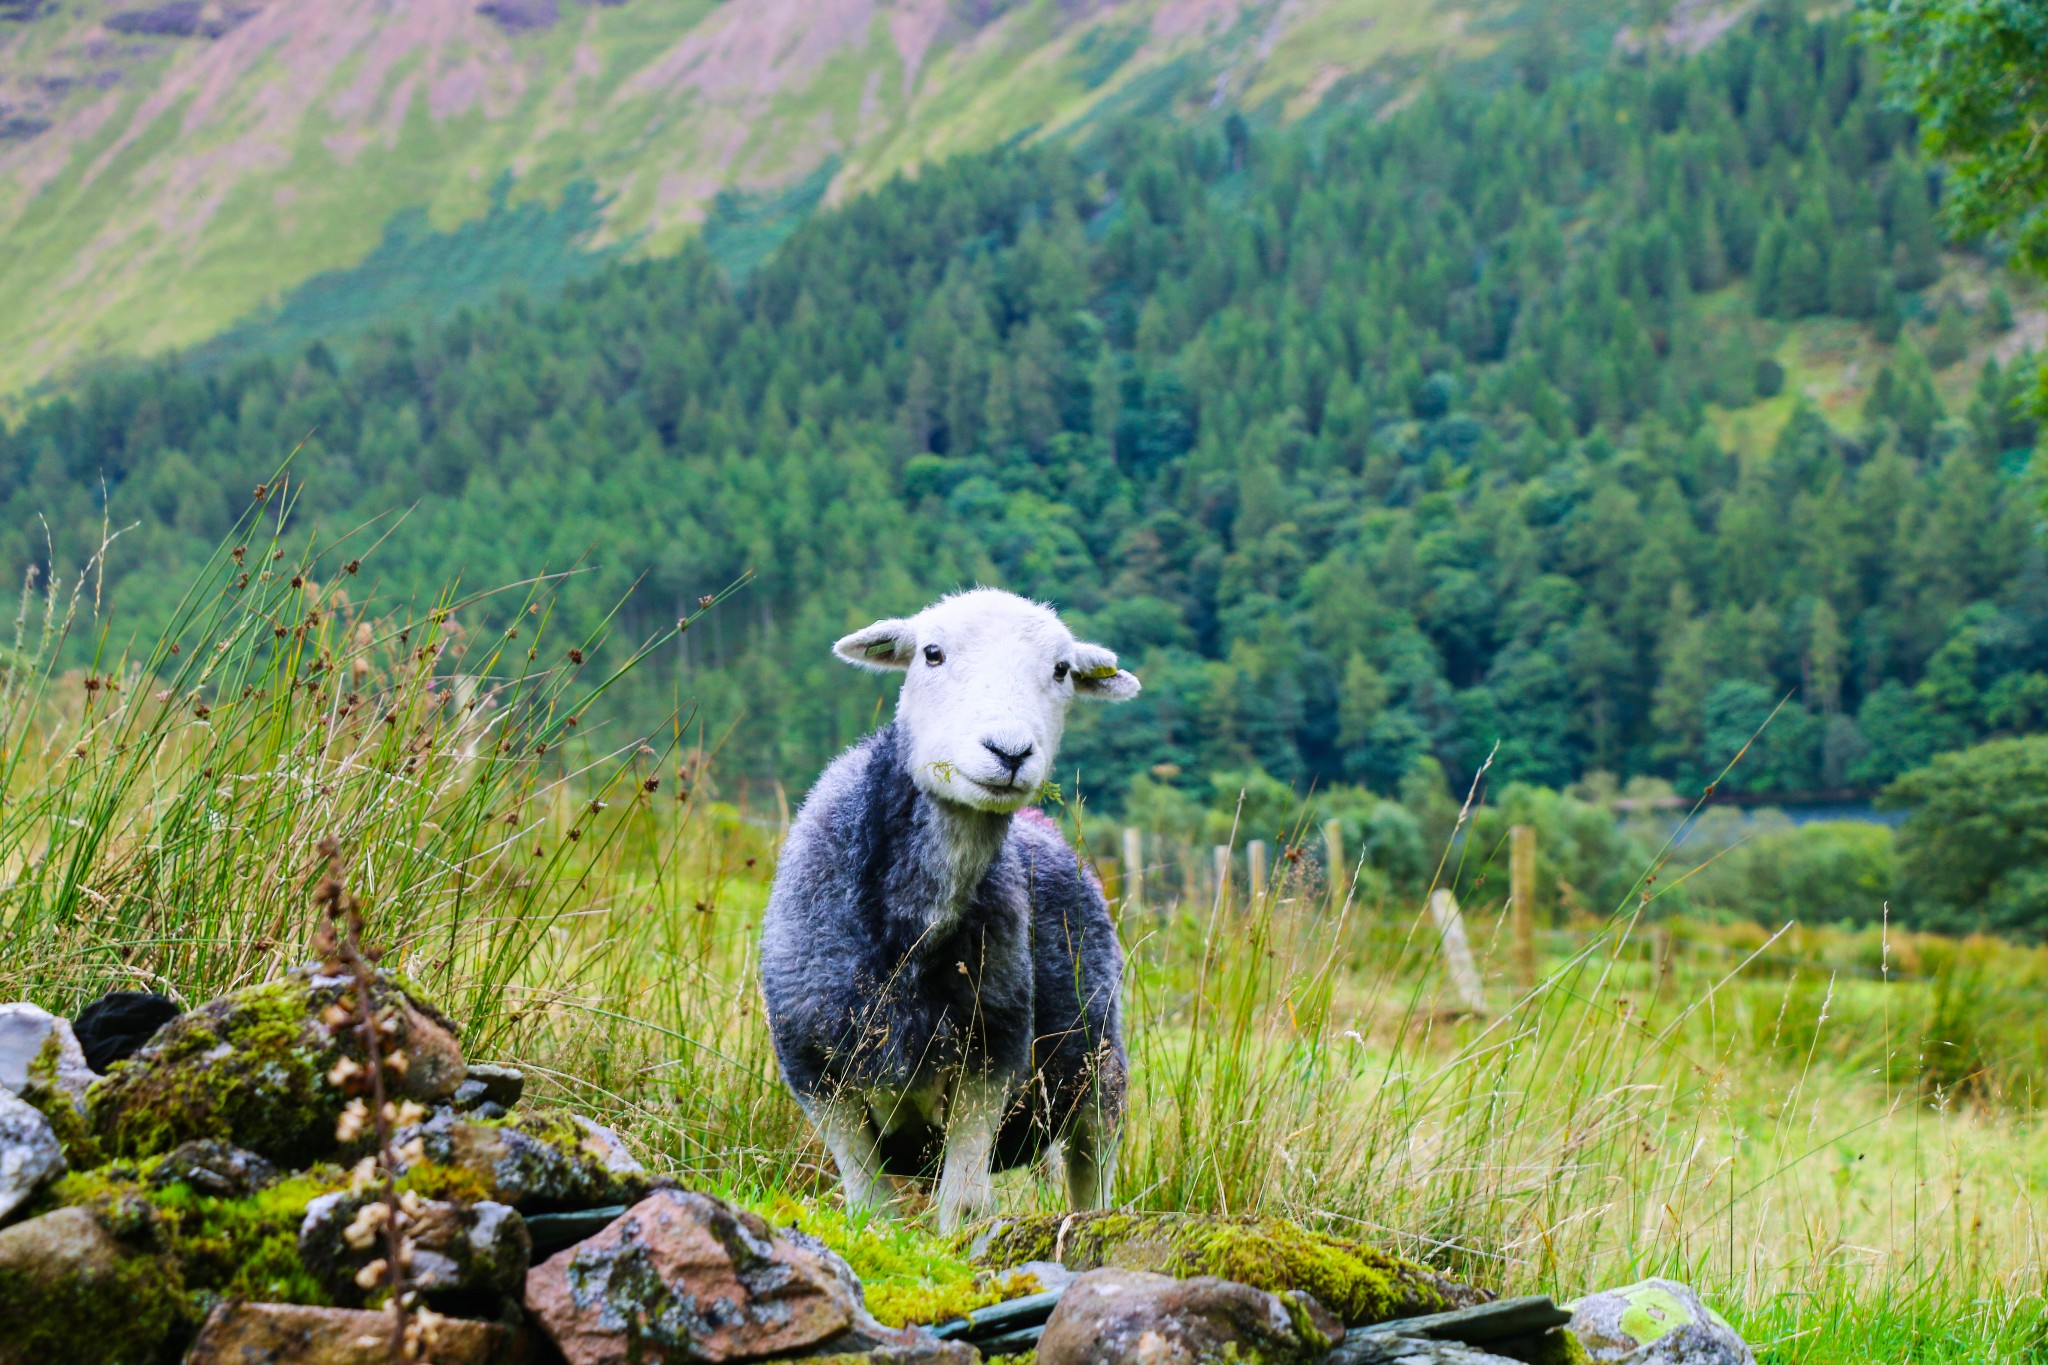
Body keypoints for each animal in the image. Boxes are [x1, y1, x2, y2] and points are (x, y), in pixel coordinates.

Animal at [770, 593, 1146, 1236]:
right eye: (932, 653)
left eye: (1062, 670)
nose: (1010, 753)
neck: (913, 931)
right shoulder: (814, 1071)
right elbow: (871, 1209)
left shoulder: (992, 1057)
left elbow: (965, 1204)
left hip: (1098, 1071)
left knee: (1090, 1173)